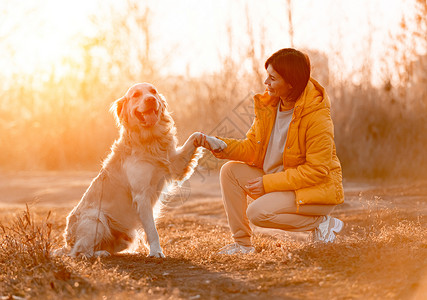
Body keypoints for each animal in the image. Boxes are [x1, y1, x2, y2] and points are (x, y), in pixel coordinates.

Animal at [58, 82, 229, 258]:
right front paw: (156, 251)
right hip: (95, 219)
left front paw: (216, 142)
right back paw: (100, 253)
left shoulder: (175, 165)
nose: (151, 99)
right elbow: (152, 229)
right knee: (79, 251)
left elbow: (196, 134)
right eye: (136, 95)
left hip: (125, 237)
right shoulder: (142, 195)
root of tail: (67, 242)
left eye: (153, 91)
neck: (149, 140)